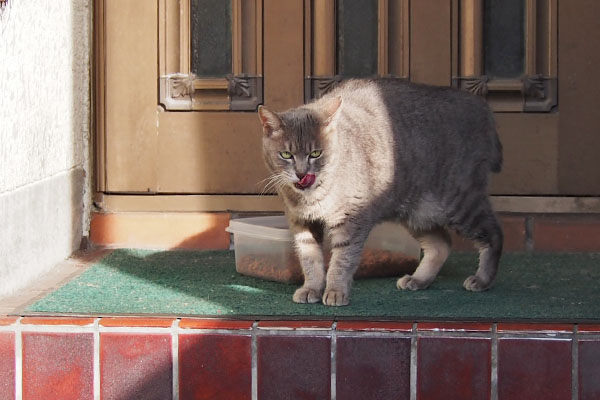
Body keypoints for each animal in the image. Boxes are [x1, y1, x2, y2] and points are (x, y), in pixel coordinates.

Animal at [256, 79, 502, 308]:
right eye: (286, 155)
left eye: (316, 153)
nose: (301, 174)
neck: (314, 196)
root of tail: (481, 106)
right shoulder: (302, 222)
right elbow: (310, 259)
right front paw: (311, 288)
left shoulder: (351, 219)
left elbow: (342, 260)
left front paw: (336, 291)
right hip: (418, 215)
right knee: (441, 245)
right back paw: (418, 279)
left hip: (461, 202)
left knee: (494, 234)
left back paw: (482, 279)